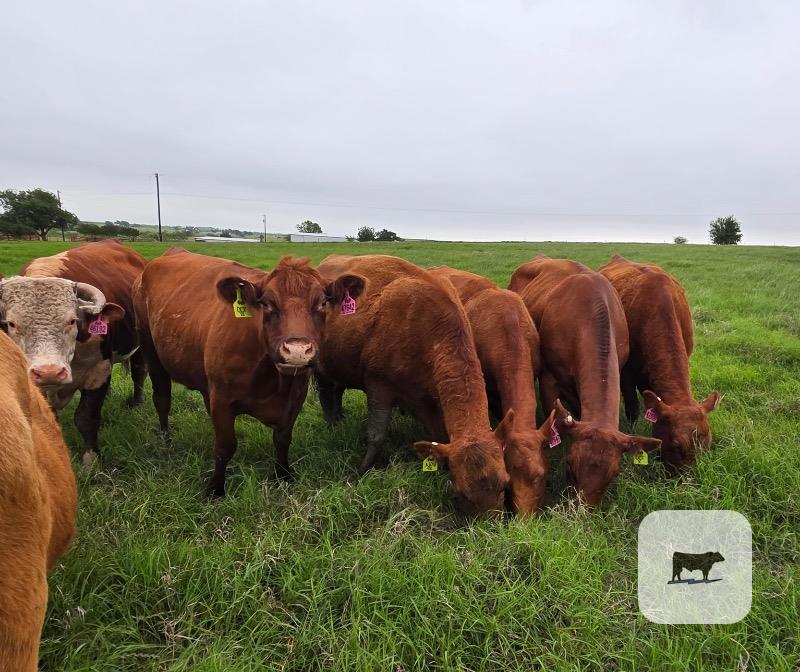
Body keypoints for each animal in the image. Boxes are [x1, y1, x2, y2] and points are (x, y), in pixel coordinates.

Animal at [0, 240, 148, 462]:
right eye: (12, 324)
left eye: (72, 320)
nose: (49, 372)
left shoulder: (99, 371)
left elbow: (86, 417)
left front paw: (91, 459)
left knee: (139, 371)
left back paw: (137, 402)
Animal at [132, 249, 365, 497]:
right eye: (267, 304)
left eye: (322, 303)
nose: (297, 351)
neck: (273, 381)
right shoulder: (222, 398)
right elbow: (225, 445)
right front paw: (215, 489)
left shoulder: (296, 396)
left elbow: (283, 439)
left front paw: (283, 475)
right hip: (150, 349)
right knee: (162, 398)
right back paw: (165, 439)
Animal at [314, 255, 510, 516]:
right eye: (461, 493)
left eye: (505, 484)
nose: (489, 524)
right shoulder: (379, 385)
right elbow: (376, 435)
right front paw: (361, 471)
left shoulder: (423, 398)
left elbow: (437, 435)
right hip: (319, 366)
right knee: (326, 395)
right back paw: (332, 425)